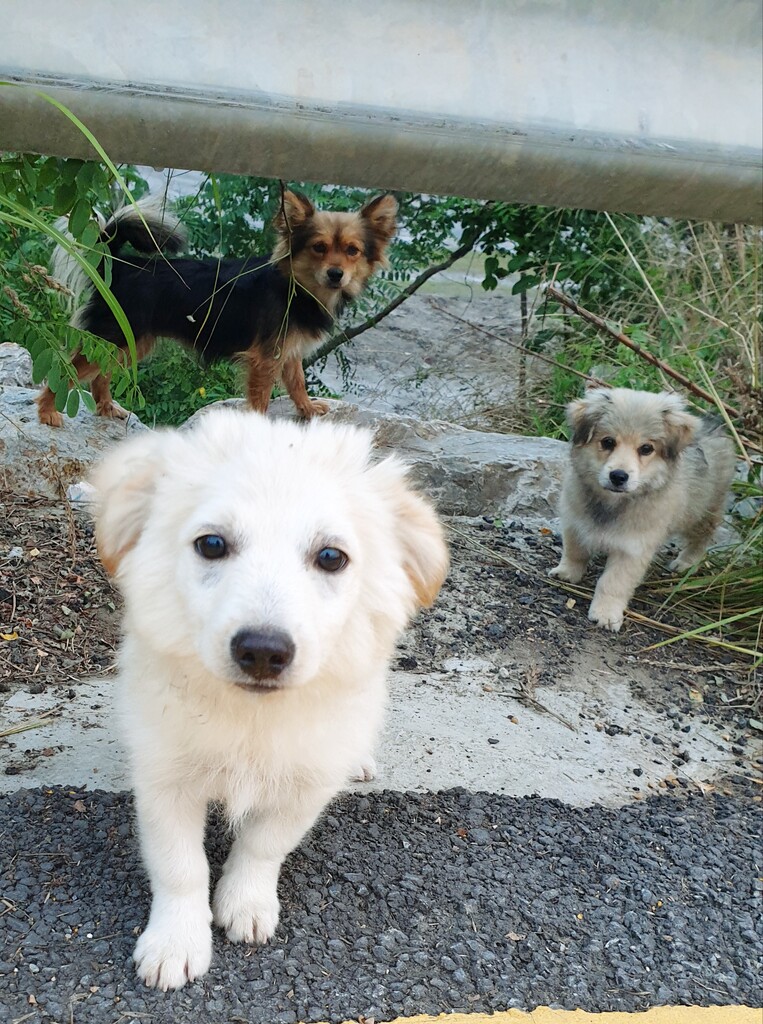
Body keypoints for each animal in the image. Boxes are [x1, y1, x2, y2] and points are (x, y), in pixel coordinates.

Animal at [39, 190, 397, 426]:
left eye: (352, 251)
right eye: (319, 248)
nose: (336, 274)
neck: (297, 288)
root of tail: (121, 265)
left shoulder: (289, 352)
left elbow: (297, 383)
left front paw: (307, 410)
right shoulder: (265, 359)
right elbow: (262, 398)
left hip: (130, 342)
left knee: (102, 373)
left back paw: (107, 408)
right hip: (115, 336)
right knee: (69, 372)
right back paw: (47, 412)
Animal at [90, 408, 448, 990]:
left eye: (331, 557)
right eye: (212, 544)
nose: (262, 651)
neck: (253, 718)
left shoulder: (305, 784)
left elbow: (263, 845)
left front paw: (246, 903)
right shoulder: (165, 780)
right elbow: (179, 866)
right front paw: (176, 941)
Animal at [549, 387, 735, 631]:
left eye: (646, 448)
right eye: (608, 442)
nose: (618, 476)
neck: (612, 504)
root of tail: (714, 426)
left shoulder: (632, 548)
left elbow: (612, 583)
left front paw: (606, 613)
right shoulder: (575, 522)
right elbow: (574, 552)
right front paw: (567, 573)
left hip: (703, 511)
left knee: (701, 538)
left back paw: (686, 563)